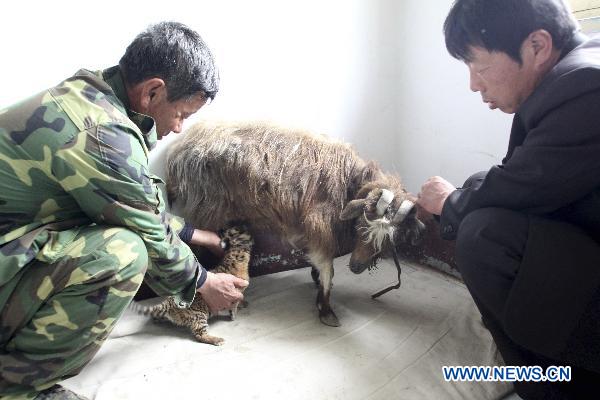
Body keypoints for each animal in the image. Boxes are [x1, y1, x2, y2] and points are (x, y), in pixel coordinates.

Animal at [166, 121, 424, 324]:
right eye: (361, 225)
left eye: (390, 239)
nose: (356, 267)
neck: (348, 182)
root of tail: (177, 152)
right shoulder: (319, 228)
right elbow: (328, 270)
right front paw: (326, 309)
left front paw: (316, 283)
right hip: (207, 210)